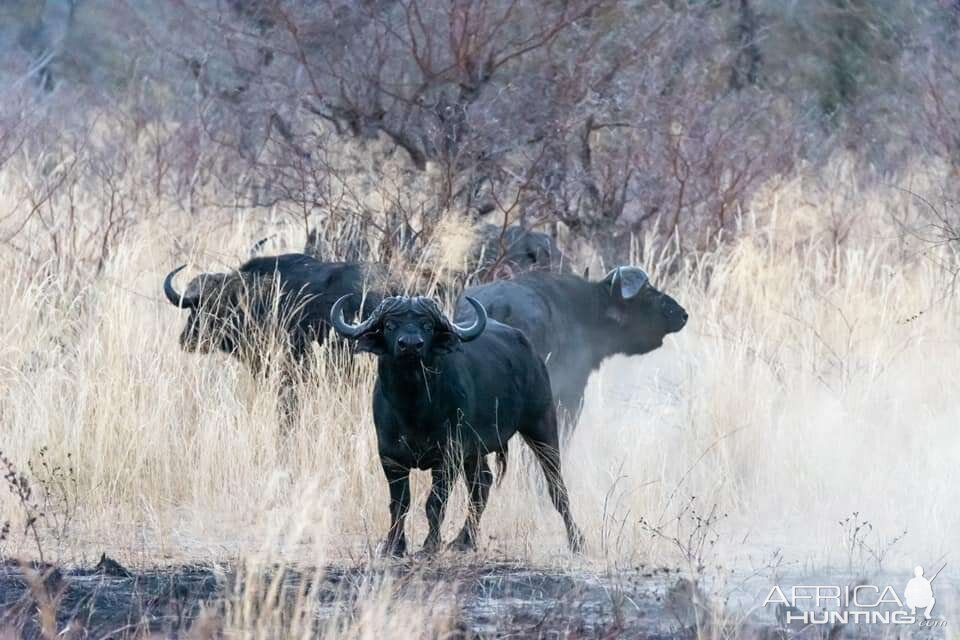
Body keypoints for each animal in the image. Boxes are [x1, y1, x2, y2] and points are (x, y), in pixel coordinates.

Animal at [330, 294, 584, 556]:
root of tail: (530, 352)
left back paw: (576, 540)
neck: (412, 406)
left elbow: (434, 502)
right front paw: (394, 546)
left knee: (556, 486)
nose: (410, 345)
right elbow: (399, 504)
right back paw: (464, 540)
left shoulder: (448, 456)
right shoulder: (390, 458)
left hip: (541, 424)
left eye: (427, 326)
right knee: (482, 484)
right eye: (390, 325)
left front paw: (430, 545)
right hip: (475, 450)